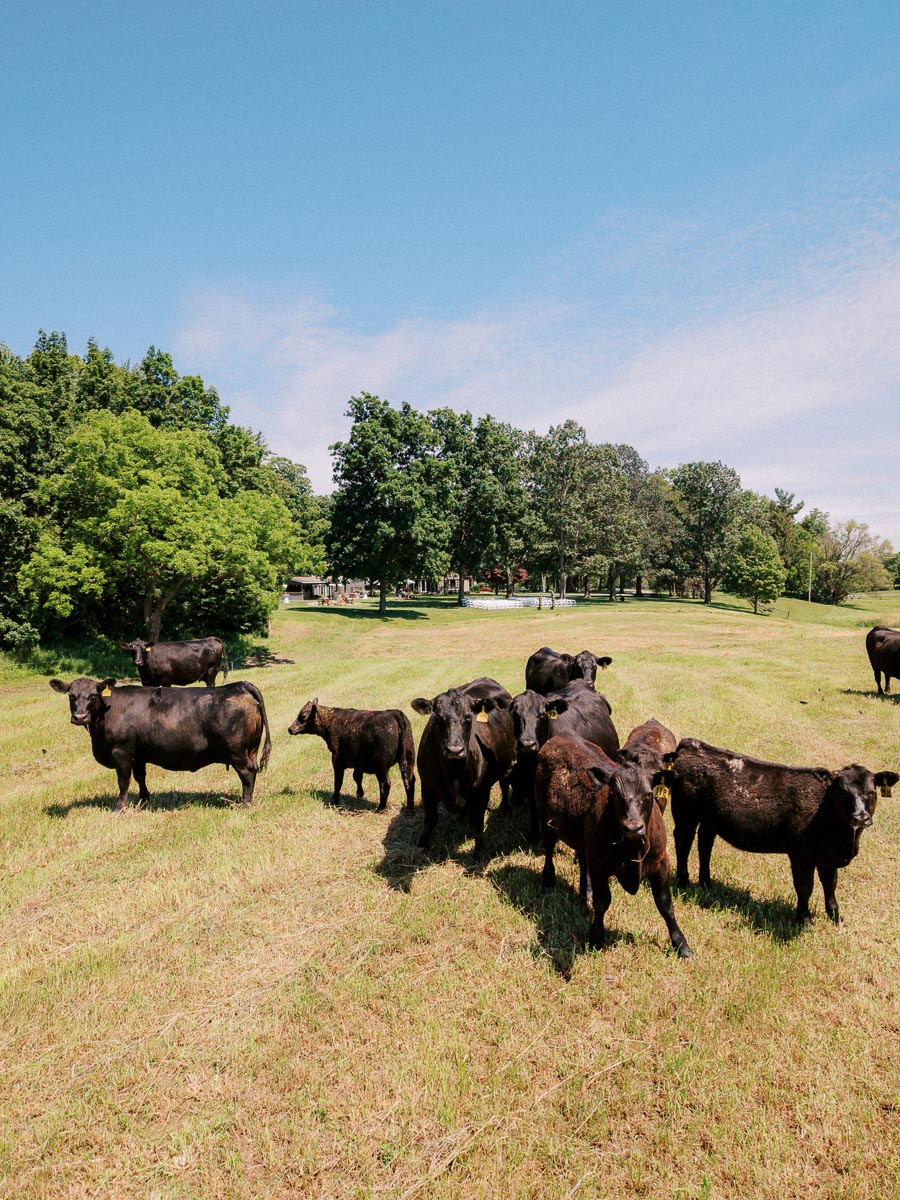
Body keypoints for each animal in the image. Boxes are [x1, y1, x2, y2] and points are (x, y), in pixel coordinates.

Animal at [49, 676, 271, 809]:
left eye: (93, 695)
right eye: (71, 696)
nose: (80, 716)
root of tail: (239, 685)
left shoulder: (121, 751)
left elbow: (123, 780)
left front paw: (120, 807)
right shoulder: (138, 754)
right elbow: (140, 777)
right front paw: (143, 800)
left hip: (237, 751)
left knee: (247, 773)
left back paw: (244, 803)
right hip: (250, 749)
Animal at [410, 677, 515, 859]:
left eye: (468, 717)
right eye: (438, 717)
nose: (455, 750)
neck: (452, 774)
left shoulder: (480, 790)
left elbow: (477, 824)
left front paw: (479, 851)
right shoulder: (427, 787)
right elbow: (430, 820)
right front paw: (422, 845)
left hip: (507, 763)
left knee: (503, 784)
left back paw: (505, 808)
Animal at [509, 682, 620, 837]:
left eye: (541, 714)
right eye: (516, 714)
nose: (527, 744)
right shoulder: (530, 783)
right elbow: (534, 809)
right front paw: (533, 834)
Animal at [535, 732, 692, 957]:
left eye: (649, 794)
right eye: (615, 794)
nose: (633, 827)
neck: (633, 850)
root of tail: (562, 736)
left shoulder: (662, 862)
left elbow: (665, 905)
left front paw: (681, 943)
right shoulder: (600, 865)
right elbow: (602, 902)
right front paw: (596, 936)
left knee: (582, 858)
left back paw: (585, 891)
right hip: (545, 818)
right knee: (548, 851)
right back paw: (548, 882)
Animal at [670, 738, 899, 927]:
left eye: (872, 792)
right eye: (842, 793)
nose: (860, 817)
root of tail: (692, 744)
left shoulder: (827, 855)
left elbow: (830, 884)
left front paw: (836, 918)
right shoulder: (800, 854)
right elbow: (805, 886)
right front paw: (804, 922)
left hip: (710, 819)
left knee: (705, 844)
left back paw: (706, 883)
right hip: (685, 812)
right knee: (683, 840)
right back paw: (684, 882)